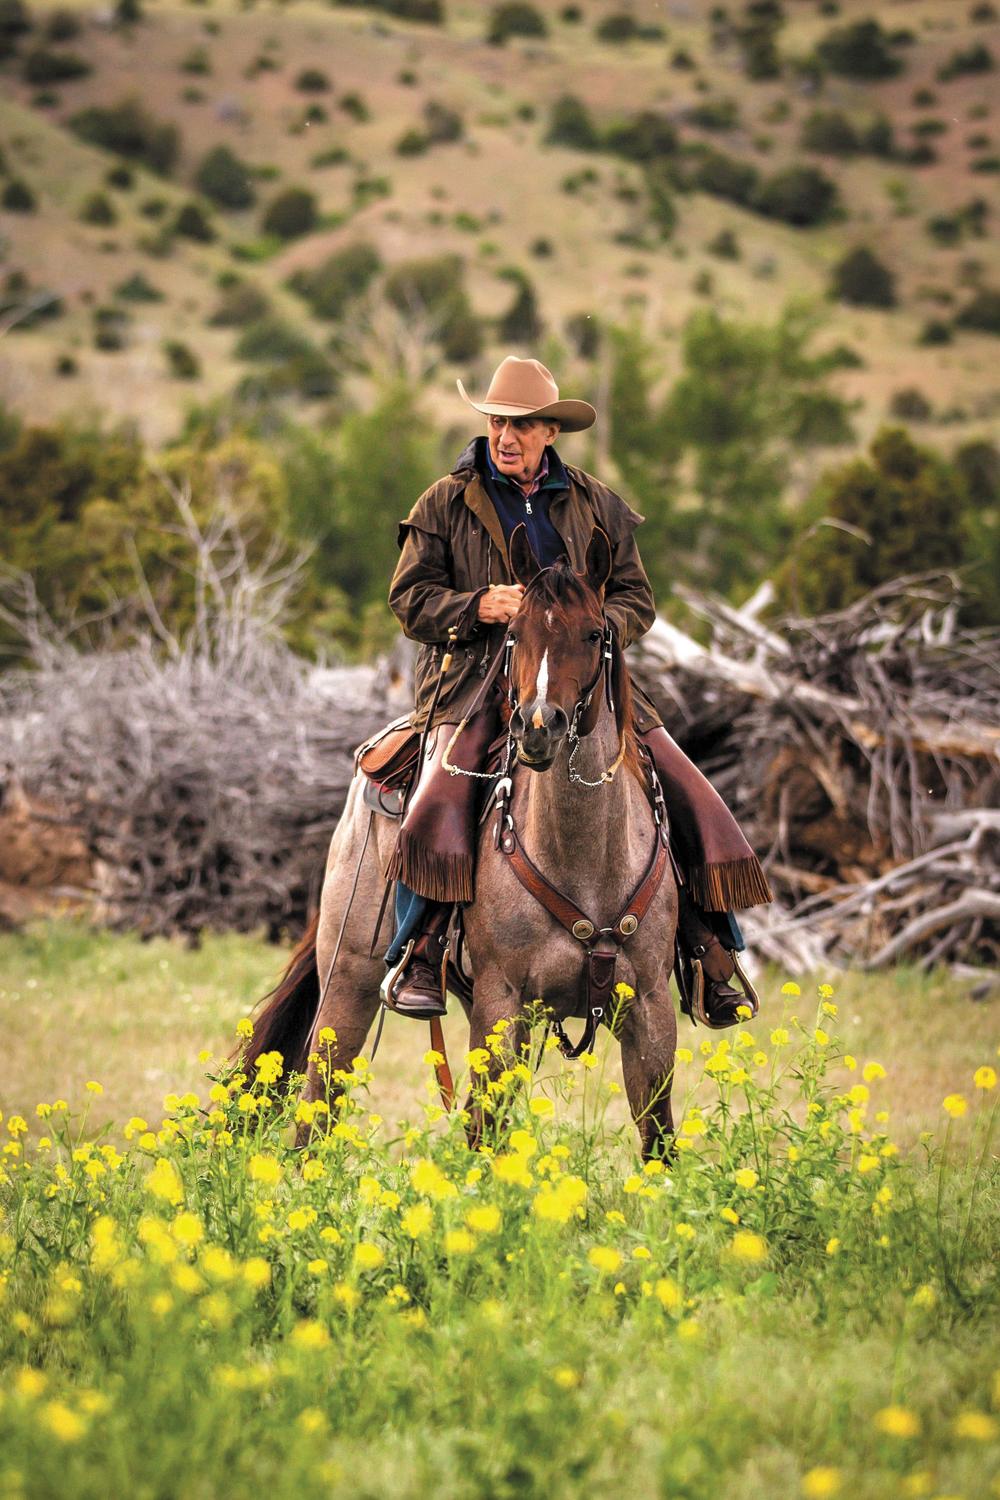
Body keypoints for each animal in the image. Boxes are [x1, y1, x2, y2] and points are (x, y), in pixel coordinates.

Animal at [244, 528, 680, 1158]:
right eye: (515, 633)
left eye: (595, 633)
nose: (537, 727)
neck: (585, 858)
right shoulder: (502, 1002)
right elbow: (485, 1131)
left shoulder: (648, 1010)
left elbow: (658, 1138)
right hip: (348, 980)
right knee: (317, 1104)